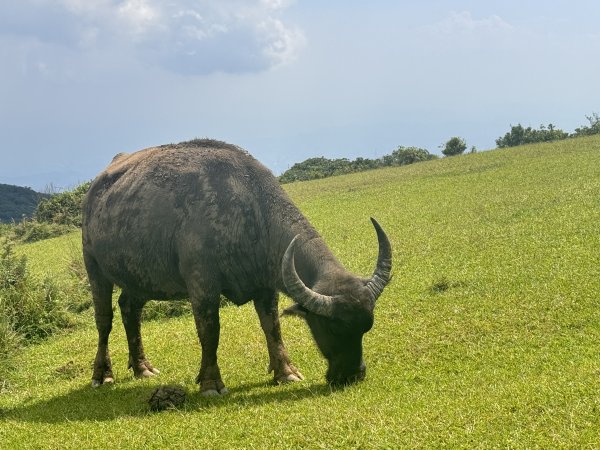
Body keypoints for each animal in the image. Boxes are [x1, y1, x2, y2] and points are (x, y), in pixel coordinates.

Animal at [82, 138, 392, 394]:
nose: (353, 374)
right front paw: (210, 383)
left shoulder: (266, 285)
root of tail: (94, 190)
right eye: (334, 328)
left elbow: (272, 326)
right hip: (94, 268)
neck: (248, 211)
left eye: (366, 328)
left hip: (140, 278)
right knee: (104, 320)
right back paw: (102, 374)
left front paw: (285, 372)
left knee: (129, 310)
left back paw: (142, 368)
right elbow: (210, 331)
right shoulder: (202, 285)